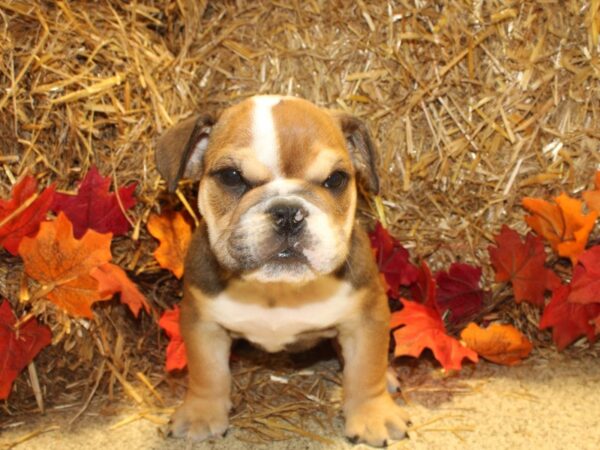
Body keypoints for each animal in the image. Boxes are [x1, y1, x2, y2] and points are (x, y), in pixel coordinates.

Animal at [155, 95, 408, 446]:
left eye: (335, 180)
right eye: (231, 176)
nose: (288, 212)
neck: (277, 289)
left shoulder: (367, 316)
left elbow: (365, 368)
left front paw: (373, 414)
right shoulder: (202, 321)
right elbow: (207, 371)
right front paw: (201, 414)